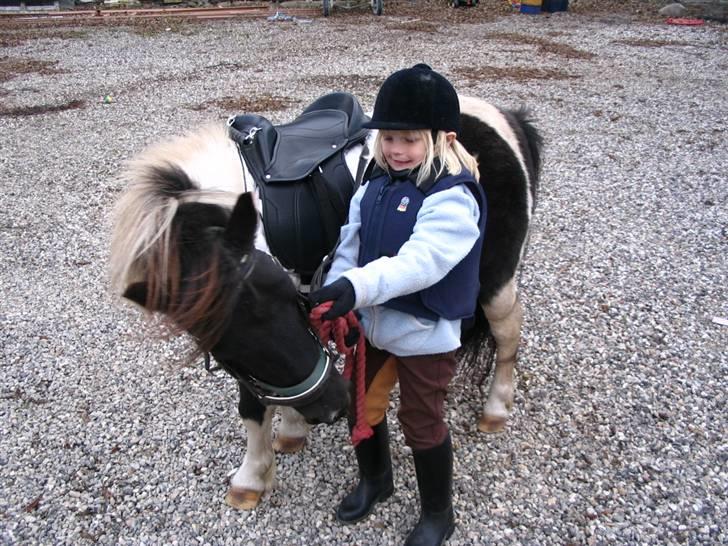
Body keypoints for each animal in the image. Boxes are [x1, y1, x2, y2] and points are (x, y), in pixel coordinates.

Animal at [108, 92, 540, 506]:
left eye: (284, 298)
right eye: (224, 345)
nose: (333, 407)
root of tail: (503, 117)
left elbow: (255, 403)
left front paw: (252, 476)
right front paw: (288, 433)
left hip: (495, 283)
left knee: (508, 331)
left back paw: (496, 408)